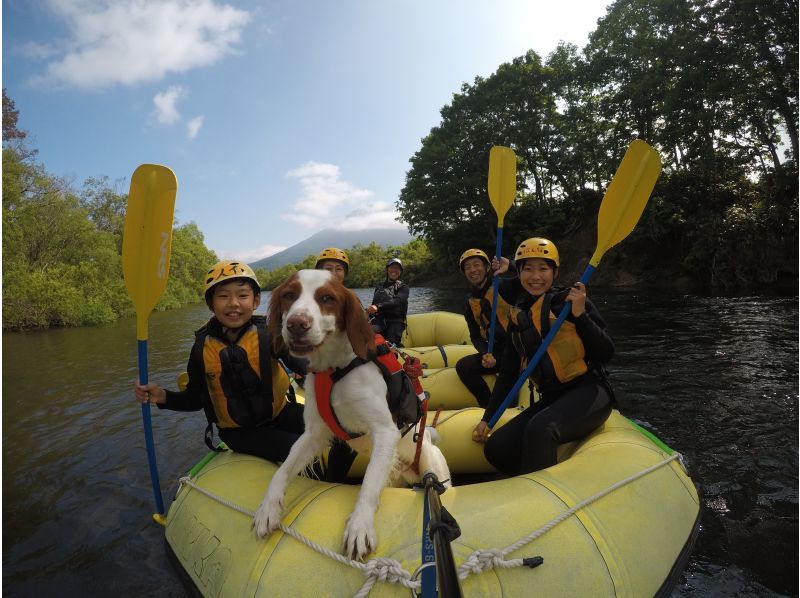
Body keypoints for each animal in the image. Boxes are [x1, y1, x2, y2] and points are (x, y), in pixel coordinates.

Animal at [253, 272, 446, 564]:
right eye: (289, 295)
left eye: (327, 298)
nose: (296, 324)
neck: (334, 370)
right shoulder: (313, 434)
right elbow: (281, 471)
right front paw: (268, 508)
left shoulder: (385, 431)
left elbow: (368, 485)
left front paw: (359, 526)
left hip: (432, 466)